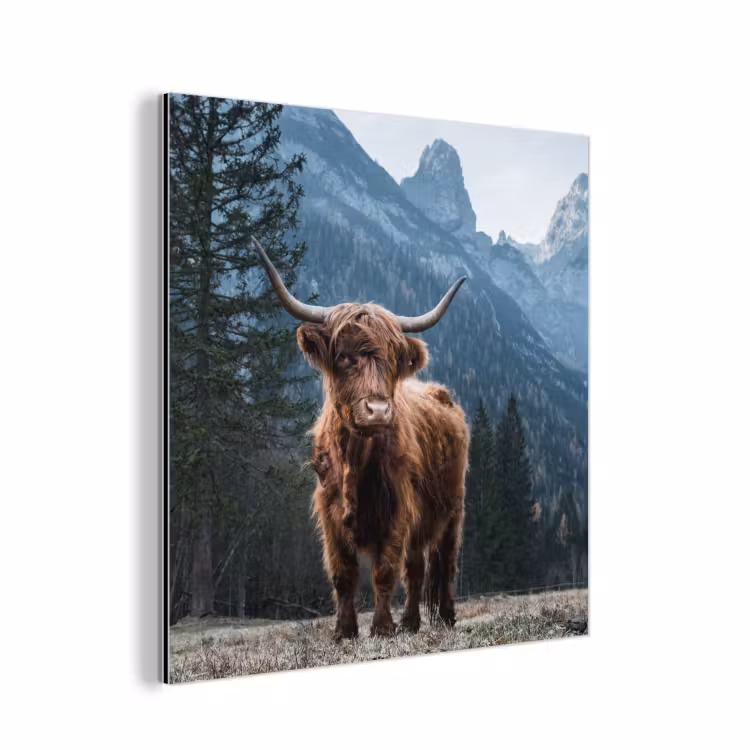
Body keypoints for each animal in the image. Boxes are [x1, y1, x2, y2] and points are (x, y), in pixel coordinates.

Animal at [251, 237, 470, 639]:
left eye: (393, 359)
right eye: (343, 356)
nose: (378, 411)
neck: (355, 459)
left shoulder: (398, 508)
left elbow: (384, 571)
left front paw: (382, 628)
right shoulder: (329, 511)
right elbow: (343, 574)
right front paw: (344, 631)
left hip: (453, 510)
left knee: (444, 564)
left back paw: (444, 618)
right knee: (416, 568)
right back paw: (411, 623)